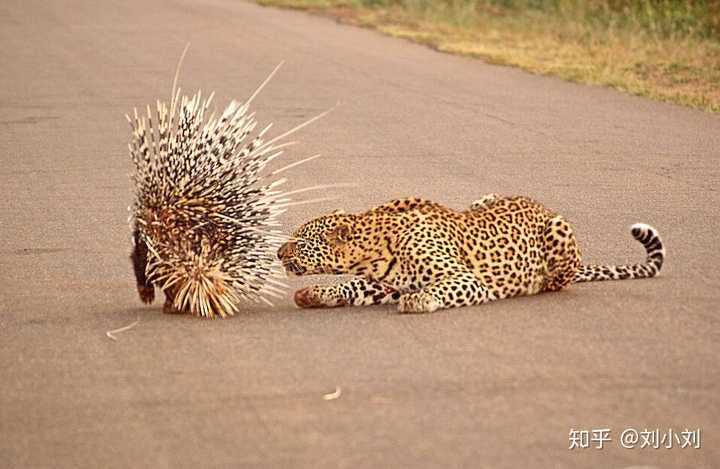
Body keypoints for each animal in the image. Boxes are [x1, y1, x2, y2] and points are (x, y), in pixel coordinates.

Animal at [276, 196, 664, 312]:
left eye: (300, 239)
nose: (279, 252)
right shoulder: (385, 282)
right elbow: (353, 287)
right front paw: (317, 293)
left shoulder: (468, 279)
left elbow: (439, 289)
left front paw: (419, 301)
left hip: (559, 230)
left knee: (559, 281)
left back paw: (534, 284)